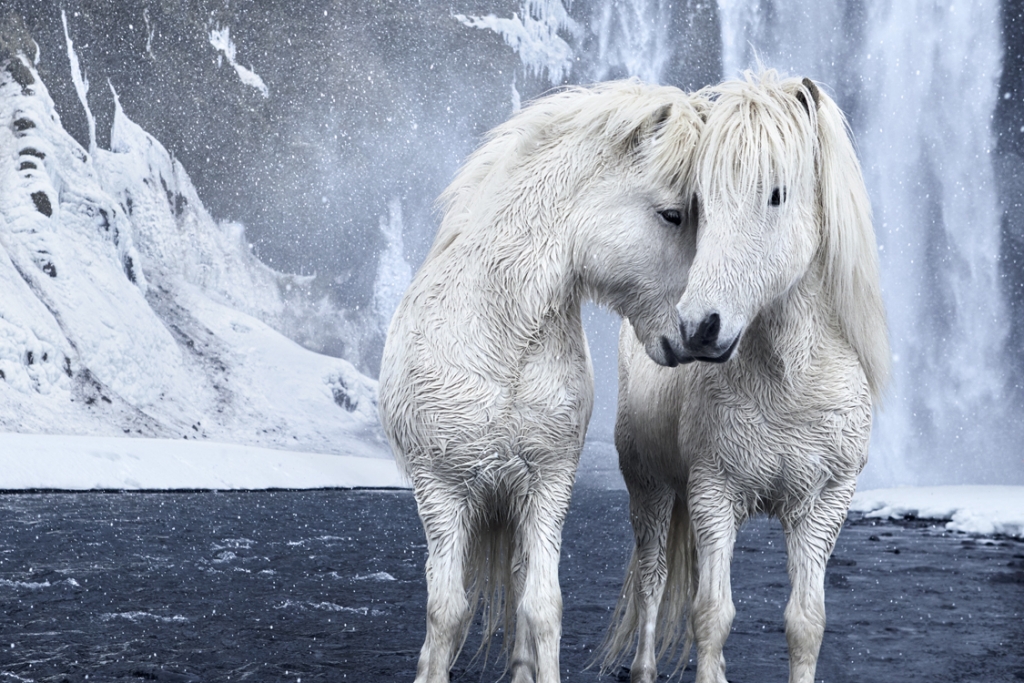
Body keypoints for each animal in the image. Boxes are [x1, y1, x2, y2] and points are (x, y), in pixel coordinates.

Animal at [380, 81, 708, 683]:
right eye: (673, 214)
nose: (701, 332)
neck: (499, 340)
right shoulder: (440, 491)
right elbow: (446, 611)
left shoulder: (547, 486)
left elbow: (541, 605)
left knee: (517, 579)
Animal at [602, 69, 892, 683]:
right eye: (701, 201)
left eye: (776, 193)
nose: (698, 327)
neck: (790, 384)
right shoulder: (714, 495)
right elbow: (711, 615)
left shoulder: (822, 508)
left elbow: (805, 623)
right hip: (650, 490)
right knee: (652, 584)